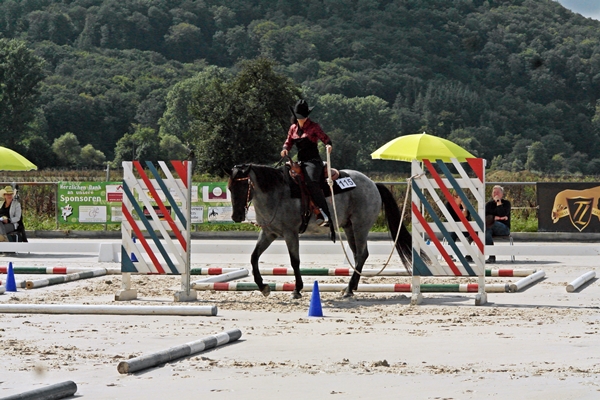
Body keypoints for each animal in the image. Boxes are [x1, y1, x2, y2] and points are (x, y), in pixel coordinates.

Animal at [228, 163, 413, 299]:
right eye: (230, 188)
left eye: (243, 186)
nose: (236, 216)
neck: (277, 193)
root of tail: (373, 184)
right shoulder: (268, 233)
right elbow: (254, 257)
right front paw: (263, 287)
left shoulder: (290, 233)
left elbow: (295, 261)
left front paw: (297, 289)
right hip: (349, 227)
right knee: (358, 255)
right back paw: (352, 287)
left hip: (360, 226)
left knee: (362, 254)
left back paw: (349, 289)